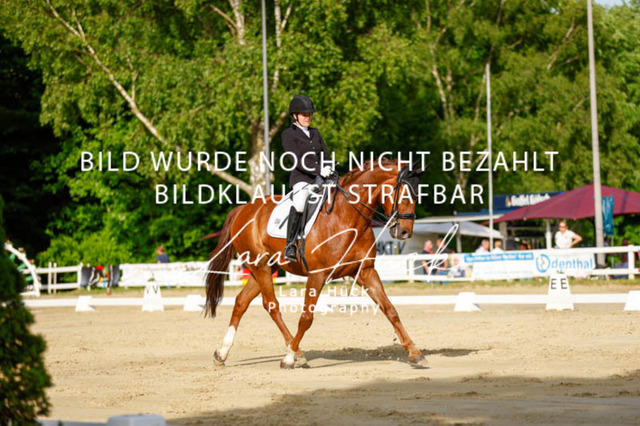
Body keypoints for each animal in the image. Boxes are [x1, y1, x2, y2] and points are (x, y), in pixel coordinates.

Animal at [205, 158, 429, 369]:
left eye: (417, 196)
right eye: (405, 195)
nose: (404, 232)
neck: (347, 218)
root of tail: (244, 209)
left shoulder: (365, 272)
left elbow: (390, 310)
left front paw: (415, 354)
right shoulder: (318, 275)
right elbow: (306, 318)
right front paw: (289, 358)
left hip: (265, 267)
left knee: (241, 302)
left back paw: (221, 353)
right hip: (261, 267)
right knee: (271, 305)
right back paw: (295, 352)